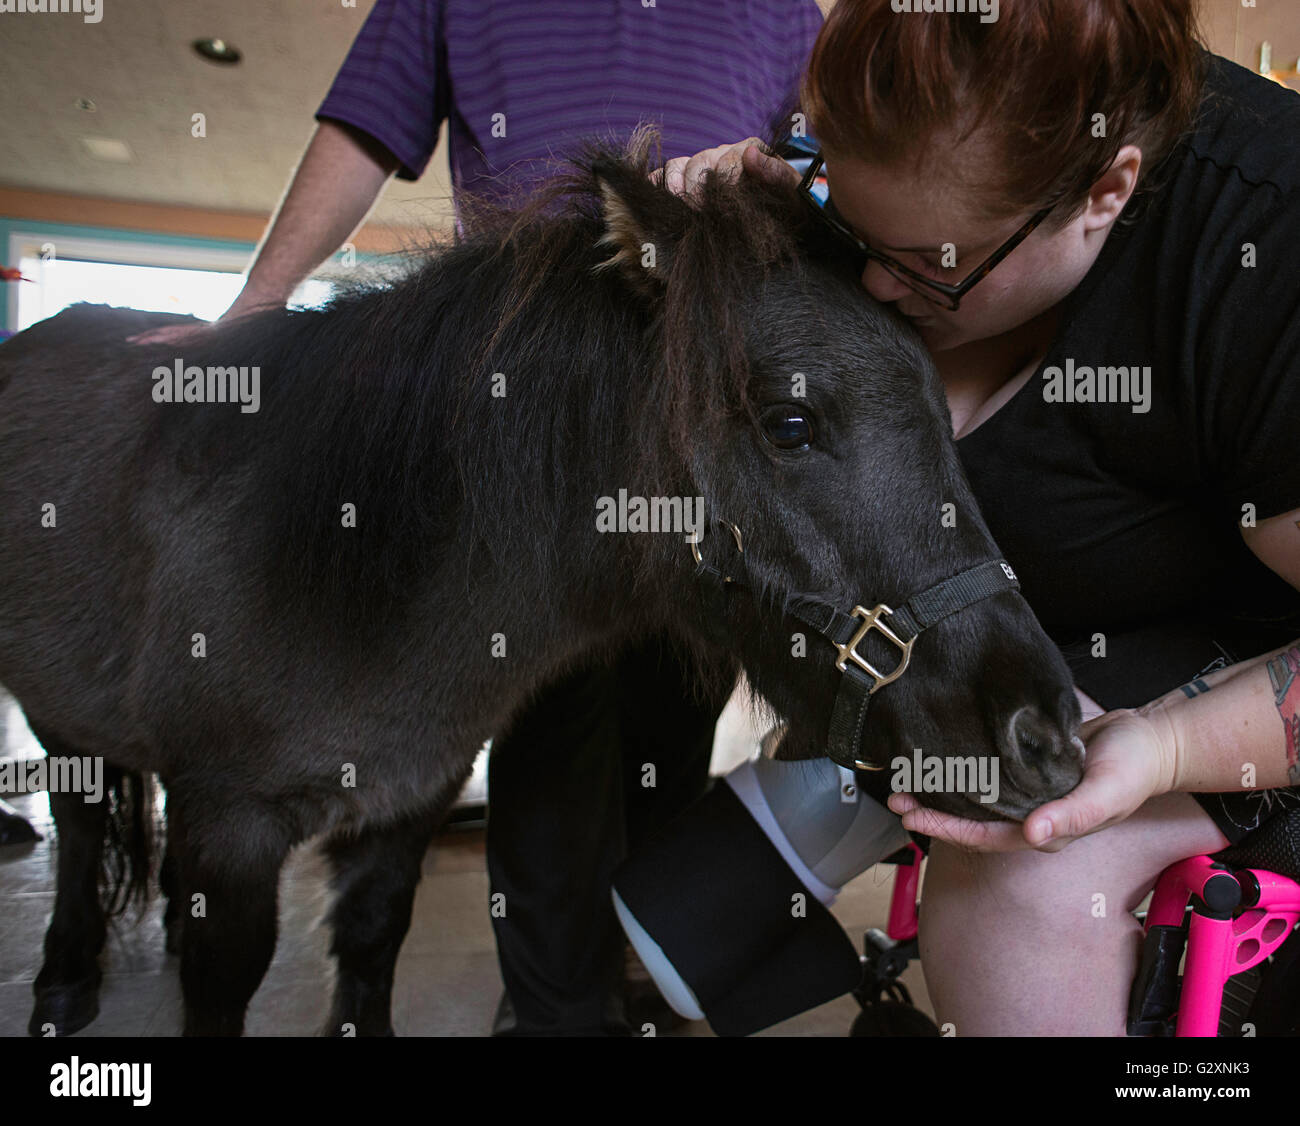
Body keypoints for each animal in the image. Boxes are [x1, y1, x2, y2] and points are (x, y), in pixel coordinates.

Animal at [0, 131, 1084, 1036]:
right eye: (790, 423)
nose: (1045, 736)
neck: (339, 563)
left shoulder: (403, 809)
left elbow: (371, 949)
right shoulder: (231, 831)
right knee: (83, 820)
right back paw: (63, 977)